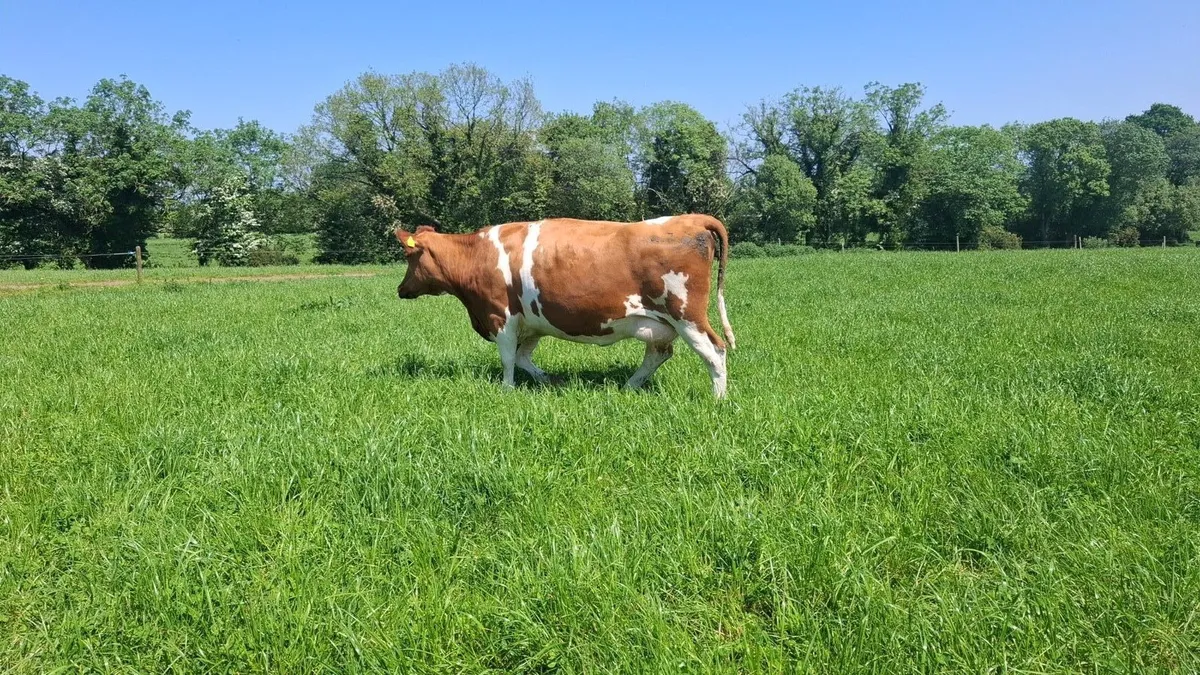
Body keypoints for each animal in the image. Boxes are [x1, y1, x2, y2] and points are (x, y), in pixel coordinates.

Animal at [393, 214, 736, 398]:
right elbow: (523, 358)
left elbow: (508, 360)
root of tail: (691, 218)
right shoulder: (532, 324)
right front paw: (550, 381)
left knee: (714, 352)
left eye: (409, 257)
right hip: (658, 323)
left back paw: (718, 399)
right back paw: (628, 386)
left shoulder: (500, 316)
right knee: (659, 353)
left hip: (687, 315)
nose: (400, 289)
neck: (476, 254)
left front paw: (506, 389)